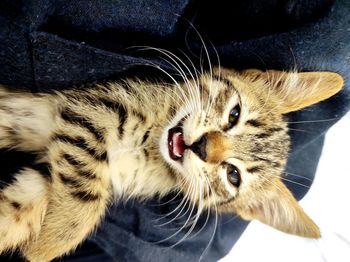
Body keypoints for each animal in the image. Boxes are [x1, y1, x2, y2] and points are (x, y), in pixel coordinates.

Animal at [0, 66, 344, 260]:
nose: (203, 146)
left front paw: (45, 245)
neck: (150, 151)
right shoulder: (96, 108)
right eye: (234, 114)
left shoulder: (49, 174)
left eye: (233, 175)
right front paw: (49, 246)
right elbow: (85, 198)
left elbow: (17, 214)